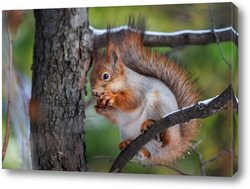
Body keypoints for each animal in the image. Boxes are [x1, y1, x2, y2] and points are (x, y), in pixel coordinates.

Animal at [90, 16, 201, 164]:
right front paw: (99, 107)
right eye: (89, 78)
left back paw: (151, 127)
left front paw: (110, 97)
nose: (93, 92)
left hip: (158, 106)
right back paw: (130, 145)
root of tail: (177, 144)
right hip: (126, 130)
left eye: (106, 76)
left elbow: (131, 101)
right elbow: (116, 117)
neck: (123, 83)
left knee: (165, 140)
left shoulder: (137, 89)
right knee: (148, 154)